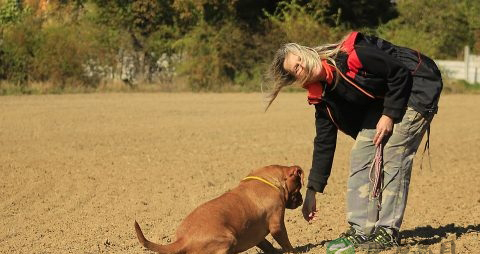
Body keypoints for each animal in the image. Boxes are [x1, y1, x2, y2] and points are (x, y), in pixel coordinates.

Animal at [134, 165, 304, 254]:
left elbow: (267, 245)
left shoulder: (257, 233)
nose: (302, 200)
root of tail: (183, 239)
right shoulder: (277, 225)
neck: (271, 180)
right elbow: (286, 243)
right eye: (299, 188)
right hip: (228, 240)